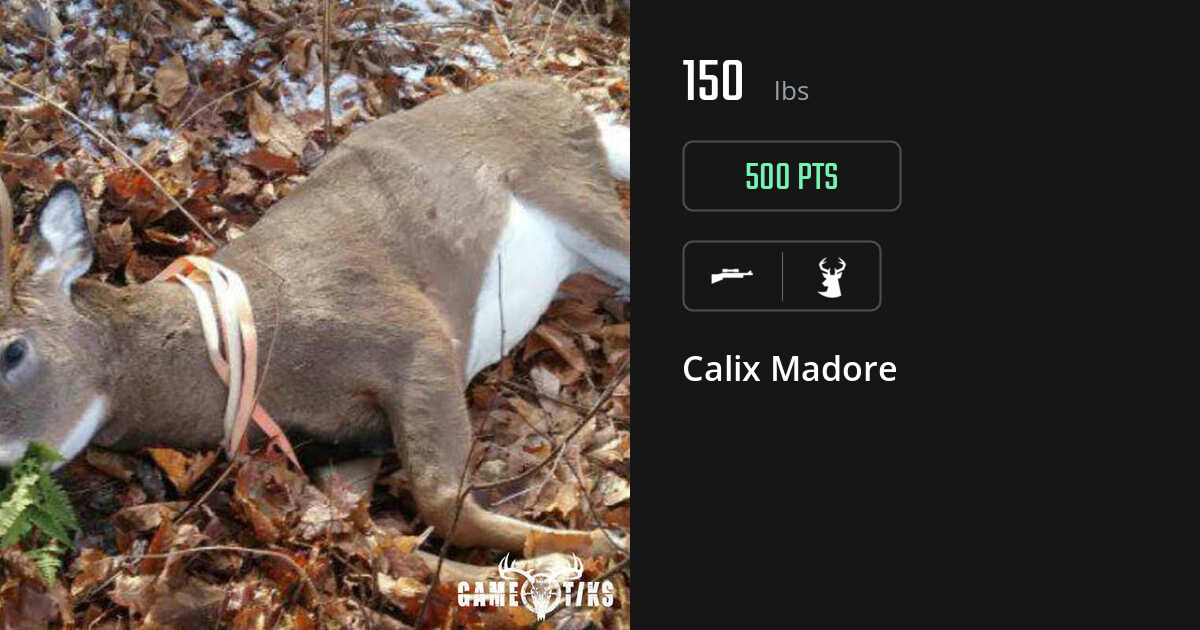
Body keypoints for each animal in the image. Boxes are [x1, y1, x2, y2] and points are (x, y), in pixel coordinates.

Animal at [0, 80, 630, 565]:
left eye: (12, 351)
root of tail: (572, 104)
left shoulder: (413, 331)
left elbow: (439, 498)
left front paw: (598, 543)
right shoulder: (346, 442)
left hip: (576, 191)